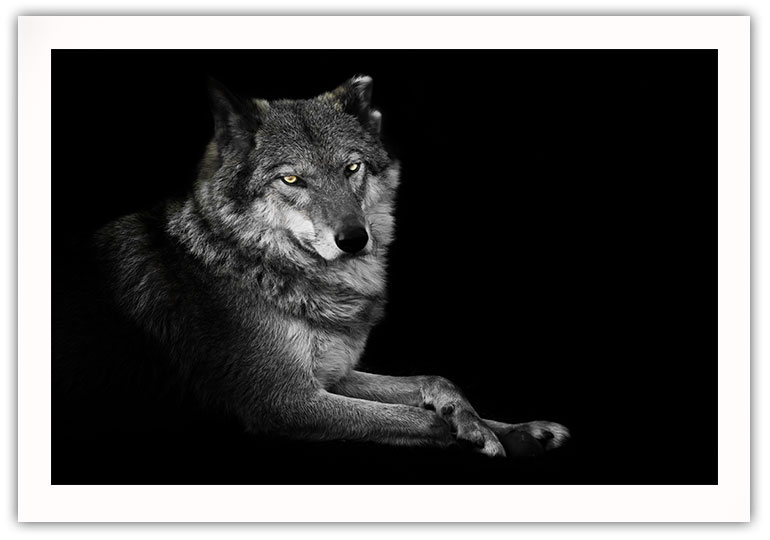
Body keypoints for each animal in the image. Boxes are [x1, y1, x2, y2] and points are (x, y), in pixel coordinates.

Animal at [53, 76, 569, 461]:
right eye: (291, 178)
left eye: (352, 168)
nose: (354, 238)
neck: (256, 264)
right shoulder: (284, 401)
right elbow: (422, 419)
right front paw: (471, 435)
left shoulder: (331, 377)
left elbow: (436, 380)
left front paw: (514, 429)